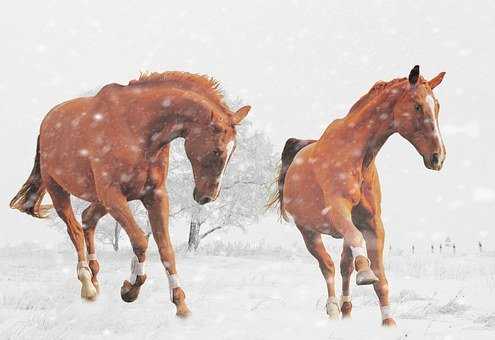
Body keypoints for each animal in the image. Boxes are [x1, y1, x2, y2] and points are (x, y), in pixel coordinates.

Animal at [10, 70, 252, 318]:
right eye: (217, 150)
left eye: (233, 150)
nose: (207, 197)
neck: (136, 128)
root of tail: (46, 122)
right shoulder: (113, 195)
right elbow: (141, 241)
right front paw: (130, 289)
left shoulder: (155, 196)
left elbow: (165, 248)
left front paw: (180, 303)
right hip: (59, 190)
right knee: (75, 229)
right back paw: (87, 284)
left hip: (100, 200)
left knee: (88, 218)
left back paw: (95, 278)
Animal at [270, 65, 448, 326]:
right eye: (417, 106)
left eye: (436, 106)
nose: (438, 157)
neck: (356, 155)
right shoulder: (337, 211)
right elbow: (356, 246)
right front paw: (365, 274)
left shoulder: (372, 223)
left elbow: (380, 278)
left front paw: (388, 323)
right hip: (308, 232)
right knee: (328, 266)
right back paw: (333, 308)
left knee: (344, 266)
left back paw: (346, 308)